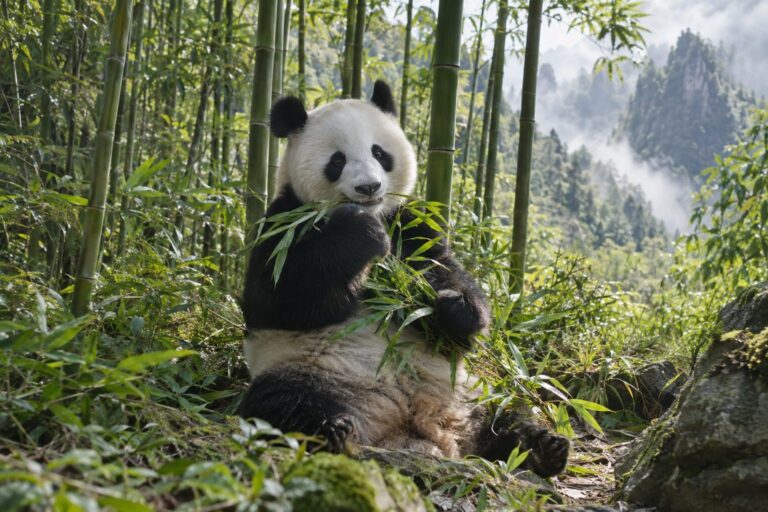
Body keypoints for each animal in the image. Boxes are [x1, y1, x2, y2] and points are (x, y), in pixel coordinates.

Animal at [238, 80, 569, 478]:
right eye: (337, 160)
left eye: (379, 152)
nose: (368, 188)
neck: (375, 214)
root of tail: (413, 426)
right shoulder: (284, 220)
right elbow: (275, 297)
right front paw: (360, 235)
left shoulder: (411, 223)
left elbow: (448, 277)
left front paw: (451, 306)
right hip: (309, 372)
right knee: (282, 403)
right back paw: (331, 430)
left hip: (472, 388)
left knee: (507, 410)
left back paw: (542, 447)